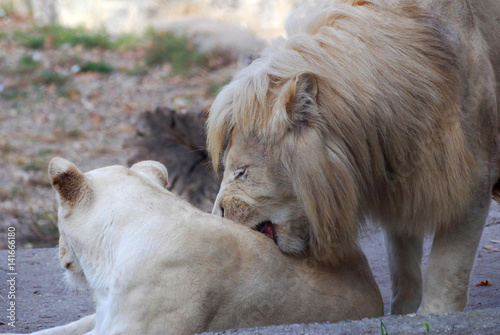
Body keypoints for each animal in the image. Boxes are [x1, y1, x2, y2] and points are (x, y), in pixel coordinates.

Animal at [207, 0, 500, 316]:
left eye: (241, 171)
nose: (217, 215)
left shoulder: (474, 179)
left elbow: (448, 270)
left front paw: (432, 314)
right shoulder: (401, 187)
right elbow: (402, 268)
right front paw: (402, 312)